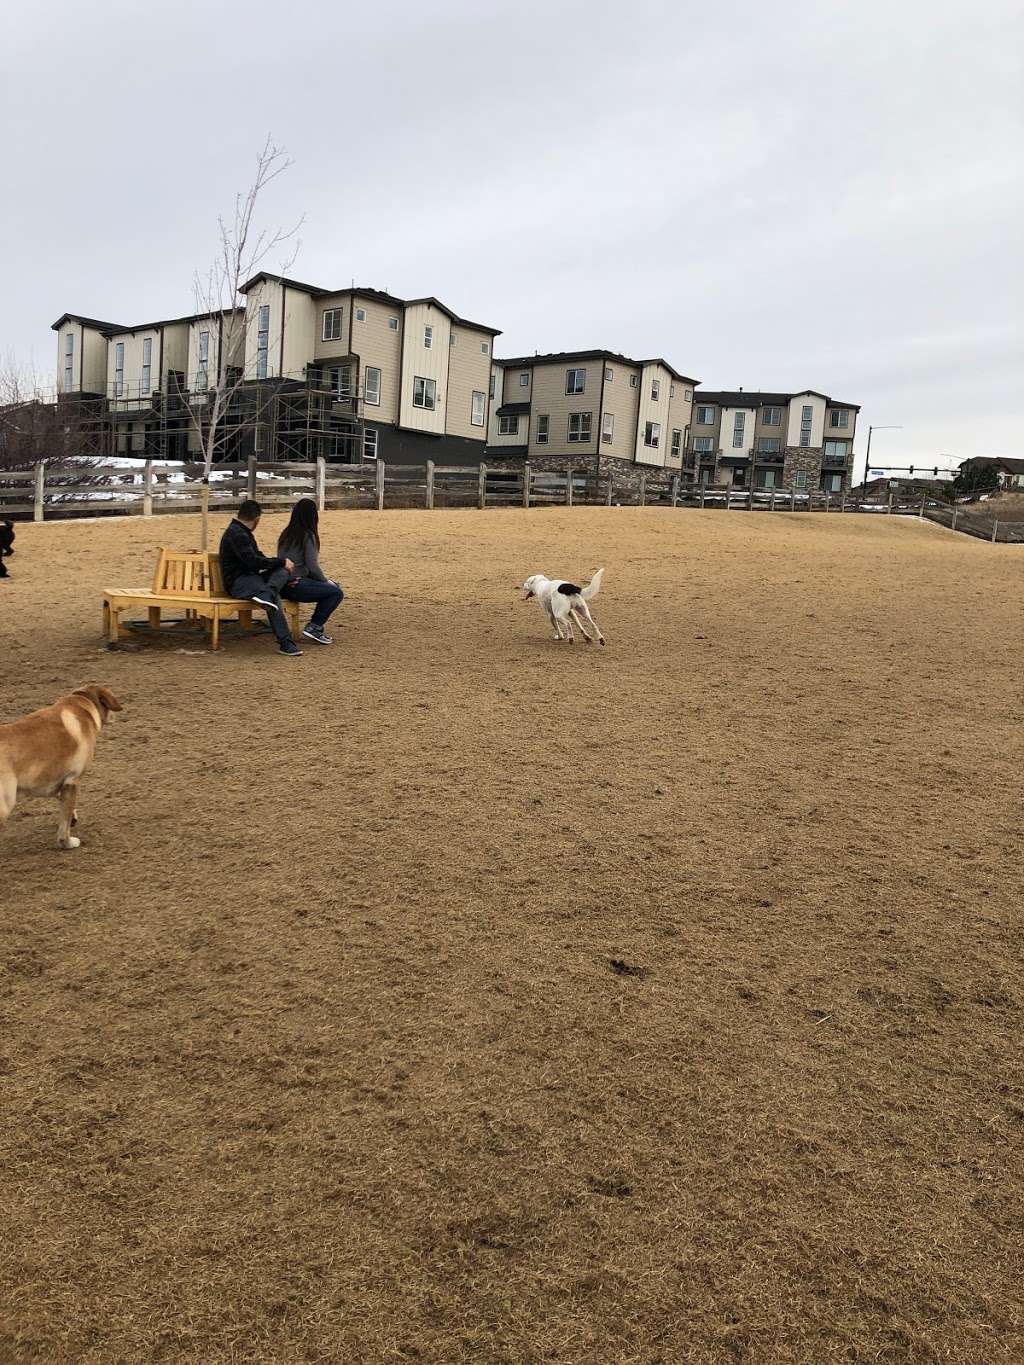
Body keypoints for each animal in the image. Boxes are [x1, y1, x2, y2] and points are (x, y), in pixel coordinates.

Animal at [0, 687, 123, 846]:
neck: (83, 705)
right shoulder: (72, 781)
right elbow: (65, 822)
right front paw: (67, 842)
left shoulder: (55, 782)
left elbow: (64, 804)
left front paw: (73, 817)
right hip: (5, 804)